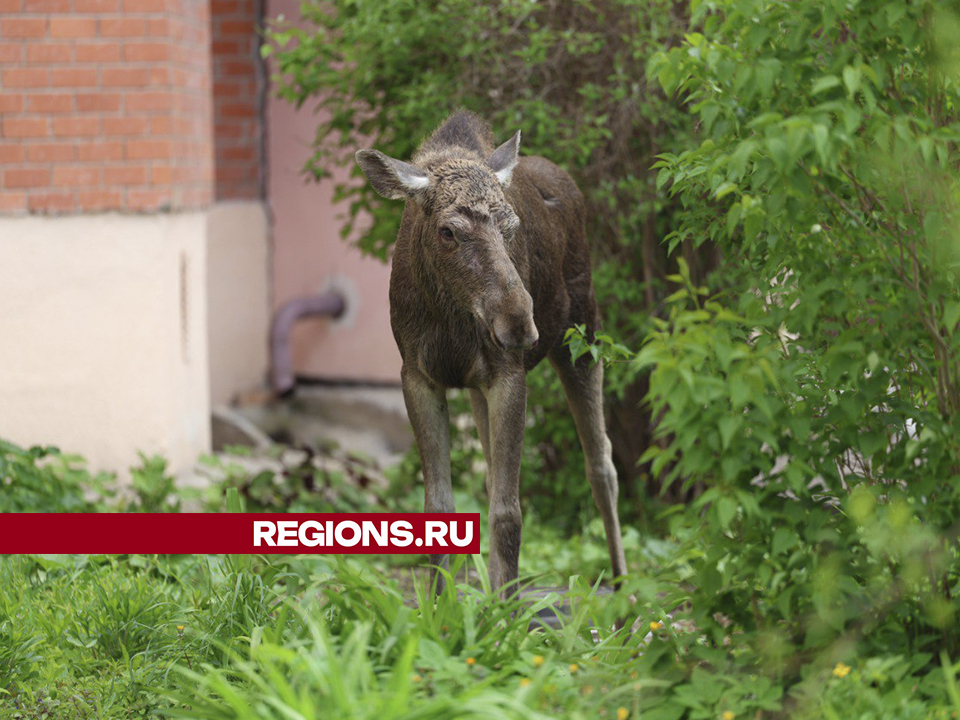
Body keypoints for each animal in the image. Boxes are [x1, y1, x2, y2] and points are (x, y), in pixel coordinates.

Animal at [356, 111, 628, 592]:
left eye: (512, 226)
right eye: (448, 230)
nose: (519, 322)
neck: (449, 317)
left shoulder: (508, 374)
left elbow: (509, 513)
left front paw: (506, 608)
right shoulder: (418, 376)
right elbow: (440, 509)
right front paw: (442, 603)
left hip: (583, 337)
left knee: (602, 465)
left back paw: (622, 585)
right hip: (478, 387)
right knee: (491, 472)